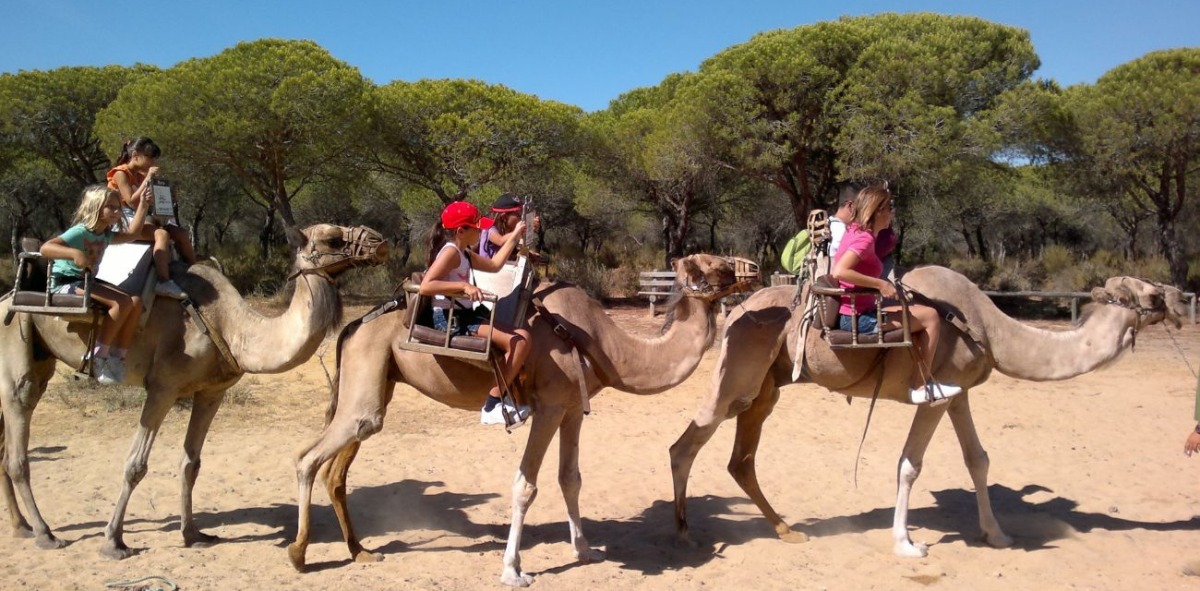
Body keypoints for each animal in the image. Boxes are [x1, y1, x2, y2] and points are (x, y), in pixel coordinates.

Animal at [0, 223, 387, 559]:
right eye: (333, 239)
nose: (379, 242)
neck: (232, 327)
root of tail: (6, 298)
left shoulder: (210, 392)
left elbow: (191, 463)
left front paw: (193, 534)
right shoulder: (163, 387)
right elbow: (135, 465)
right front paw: (114, 542)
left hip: (41, 357)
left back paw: (20, 526)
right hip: (18, 345)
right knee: (19, 437)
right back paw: (46, 533)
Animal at [289, 253, 741, 586]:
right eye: (714, 264)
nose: (746, 270)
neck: (601, 343)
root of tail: (352, 326)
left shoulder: (572, 408)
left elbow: (570, 478)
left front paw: (584, 550)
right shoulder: (549, 407)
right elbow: (526, 486)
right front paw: (513, 570)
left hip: (378, 382)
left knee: (338, 466)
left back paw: (360, 551)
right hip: (367, 374)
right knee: (308, 457)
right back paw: (299, 554)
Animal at [669, 266, 1188, 557]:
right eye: (1151, 295)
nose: (1183, 300)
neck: (989, 330)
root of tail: (736, 311)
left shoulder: (959, 393)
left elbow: (978, 459)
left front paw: (997, 535)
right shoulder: (935, 395)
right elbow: (909, 464)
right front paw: (907, 544)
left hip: (766, 387)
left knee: (741, 459)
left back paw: (786, 531)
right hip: (739, 375)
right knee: (686, 444)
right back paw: (687, 536)